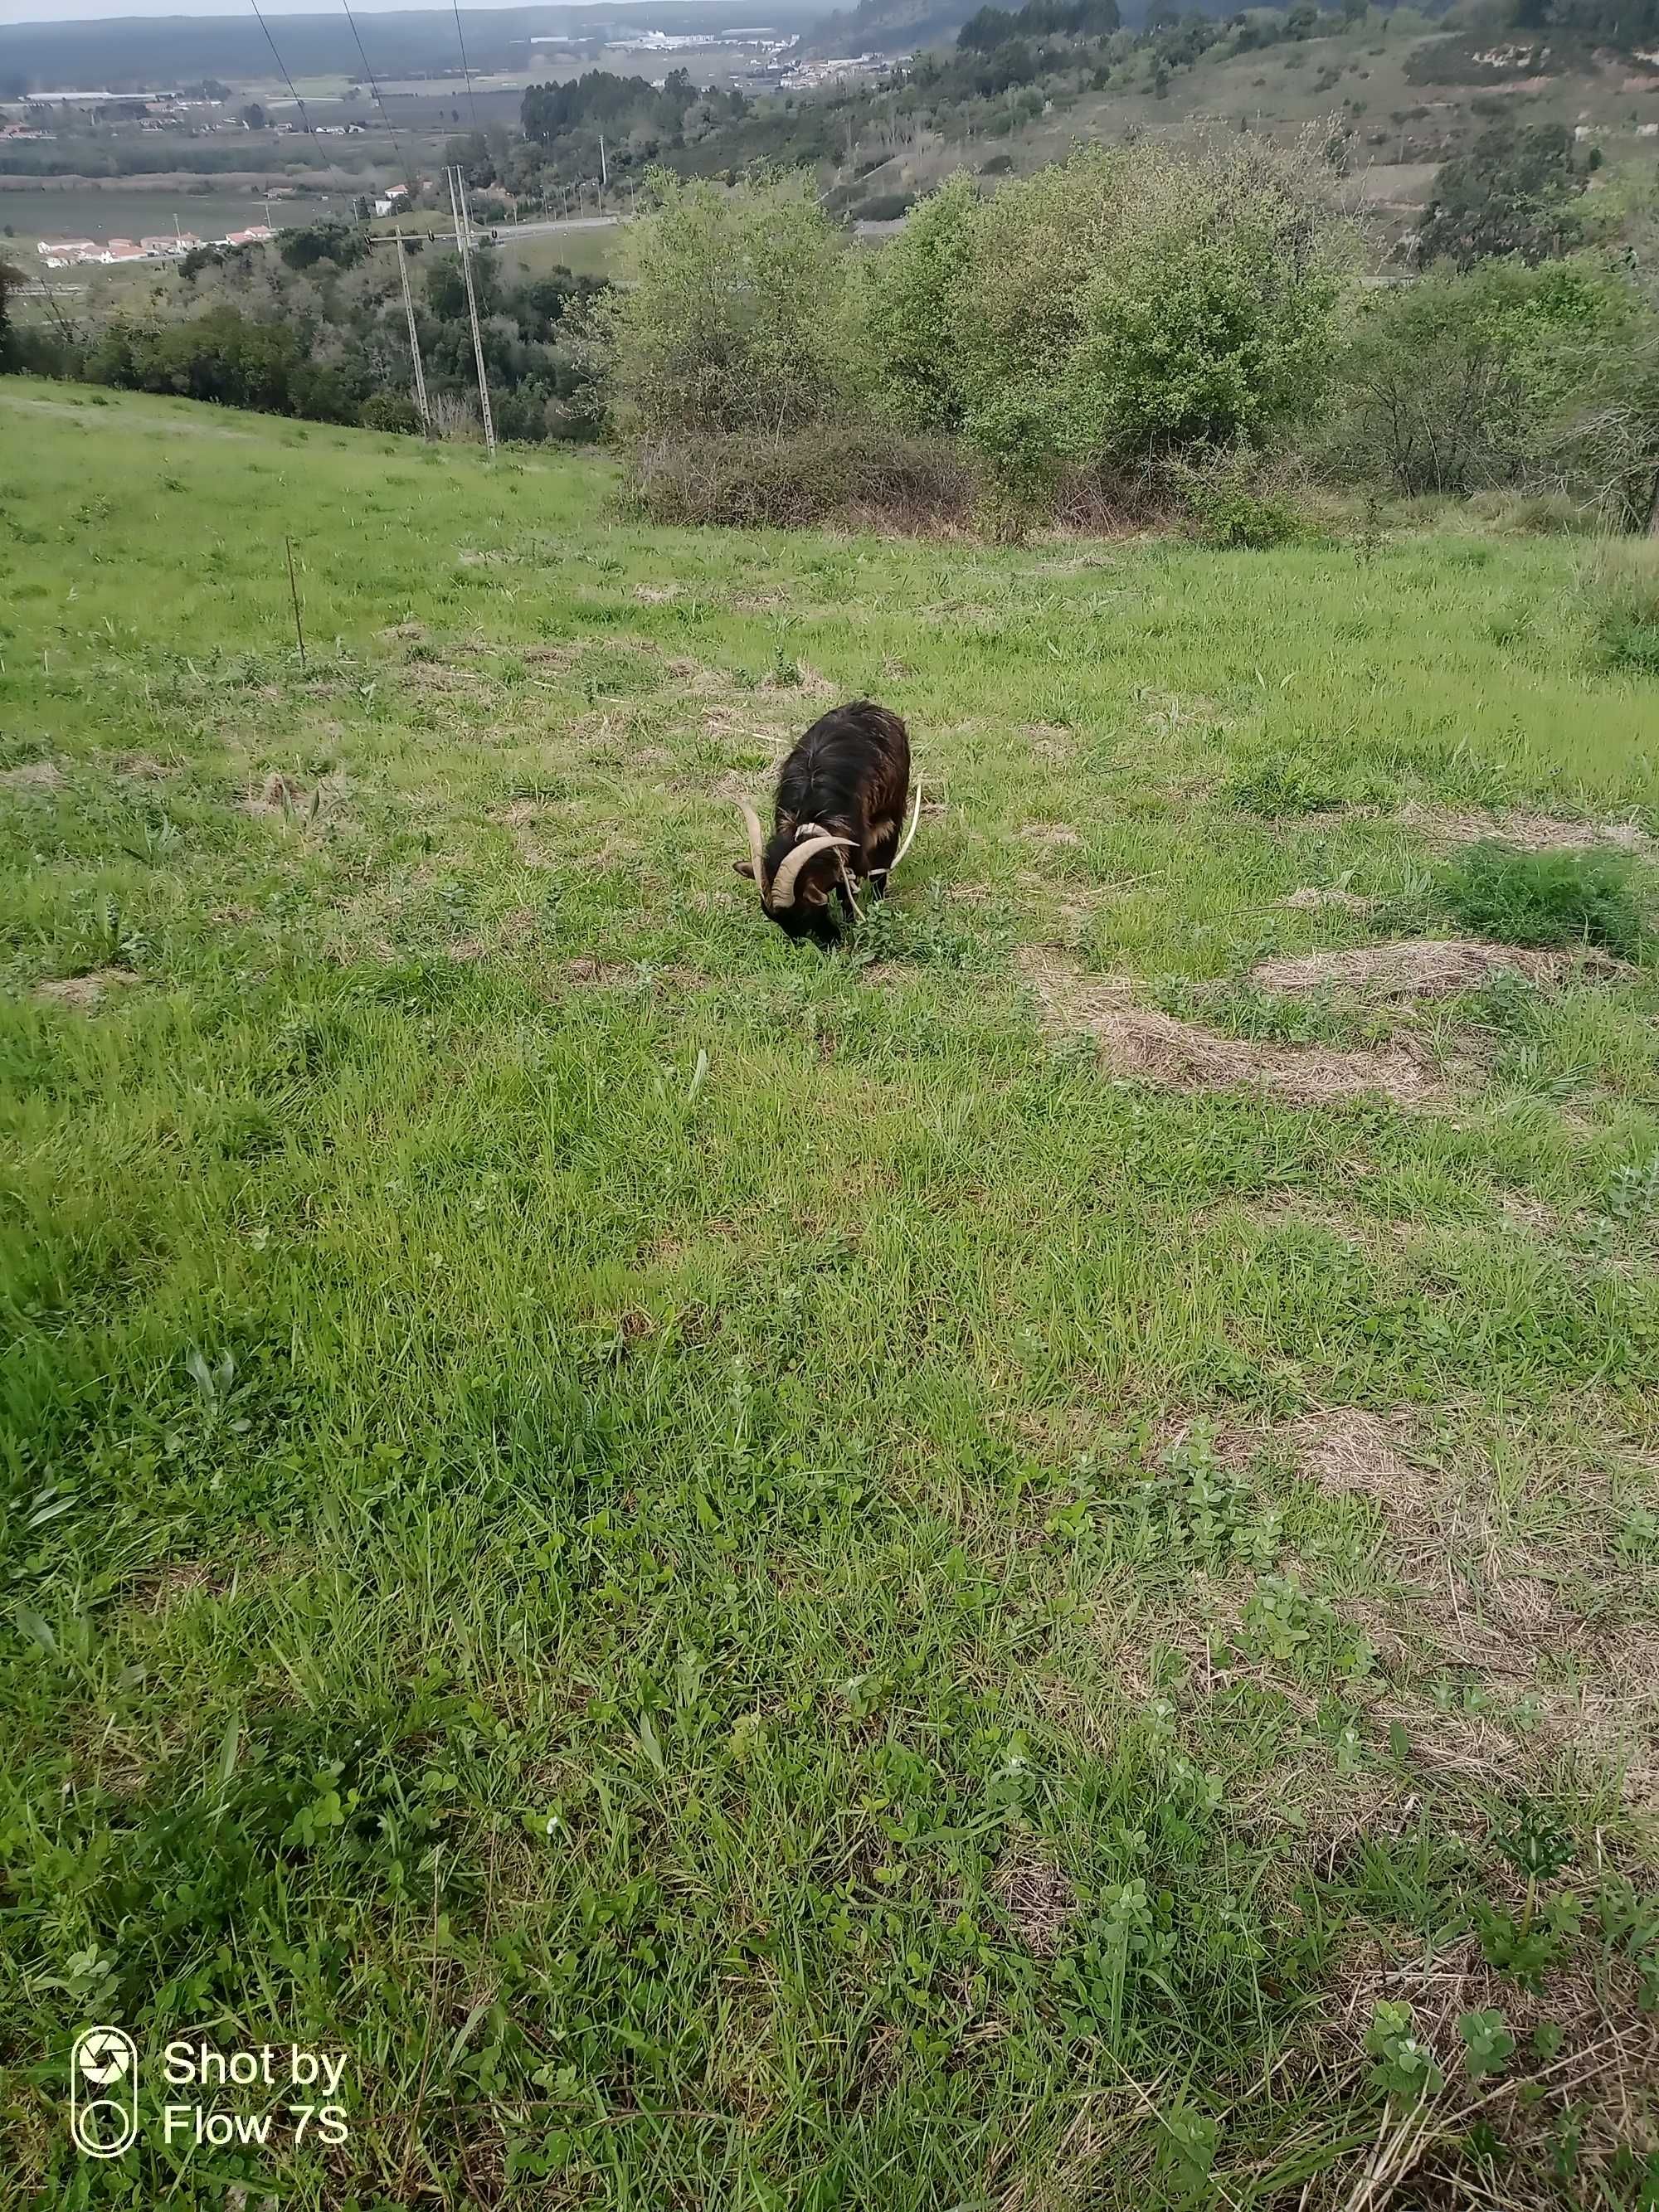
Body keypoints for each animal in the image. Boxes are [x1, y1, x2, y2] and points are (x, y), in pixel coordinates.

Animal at [738, 698, 924, 942]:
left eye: (803, 912)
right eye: (775, 919)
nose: (827, 943)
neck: (809, 816)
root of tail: (871, 706)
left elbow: (847, 892)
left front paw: (851, 924)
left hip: (891, 816)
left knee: (881, 867)